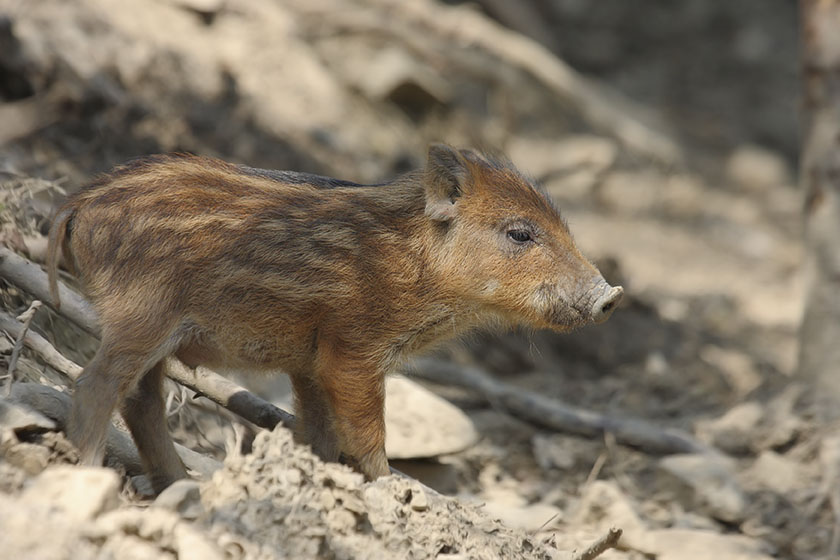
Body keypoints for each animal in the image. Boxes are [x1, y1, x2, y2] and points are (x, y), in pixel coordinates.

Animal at [46, 144, 623, 492]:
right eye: (520, 233)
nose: (610, 295)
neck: (412, 264)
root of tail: (76, 205)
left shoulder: (308, 361)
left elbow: (319, 433)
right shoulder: (353, 350)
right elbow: (366, 435)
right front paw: (389, 488)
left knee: (141, 400)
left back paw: (183, 484)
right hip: (141, 314)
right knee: (97, 385)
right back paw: (92, 473)